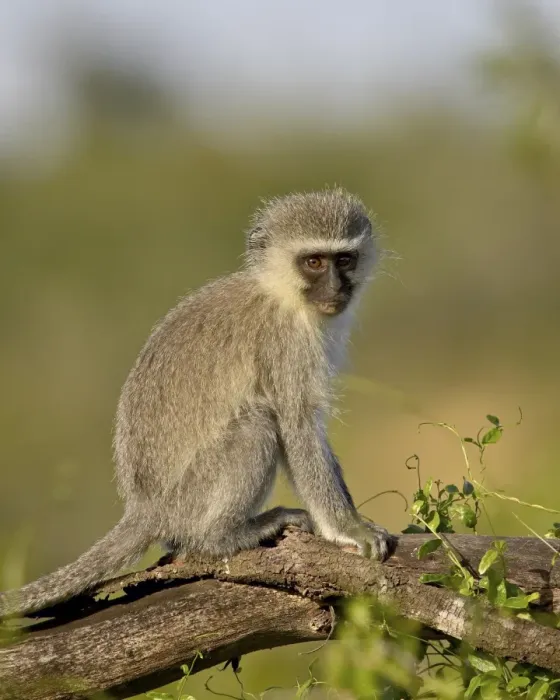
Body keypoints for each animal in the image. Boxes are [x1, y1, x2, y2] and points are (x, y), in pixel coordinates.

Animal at [0, 188, 395, 618]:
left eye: (344, 260)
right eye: (313, 262)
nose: (337, 288)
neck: (279, 293)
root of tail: (145, 509)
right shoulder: (286, 344)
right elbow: (298, 427)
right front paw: (347, 528)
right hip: (192, 497)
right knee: (257, 424)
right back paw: (224, 536)